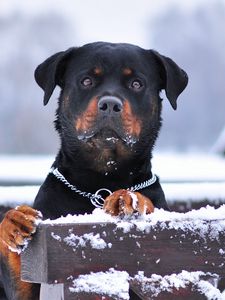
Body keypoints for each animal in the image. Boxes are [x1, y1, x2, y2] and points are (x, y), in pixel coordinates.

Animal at [0, 42, 187, 300]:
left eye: (136, 84)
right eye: (87, 81)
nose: (110, 104)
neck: (100, 179)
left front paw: (129, 198)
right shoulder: (28, 281)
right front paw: (14, 221)